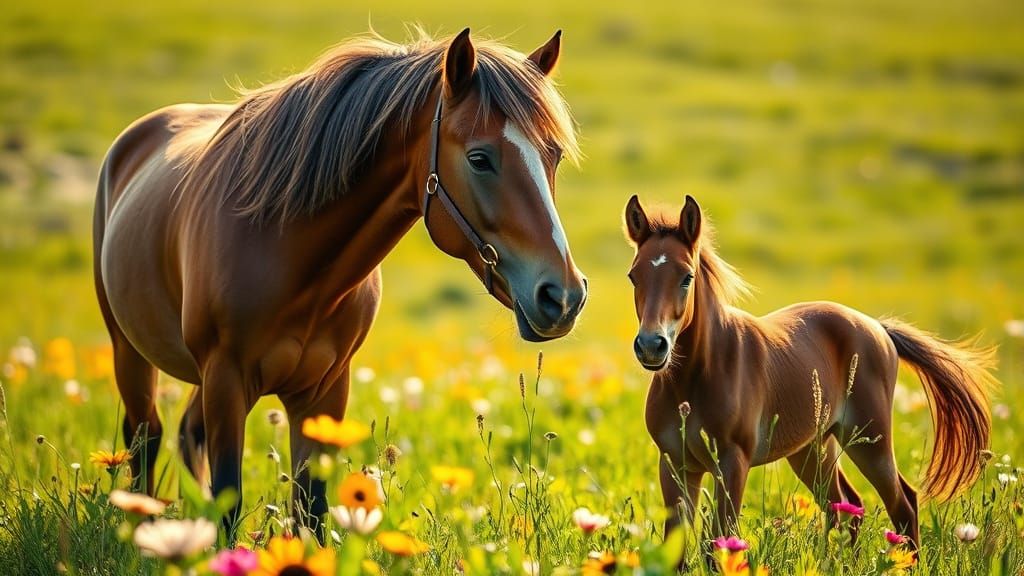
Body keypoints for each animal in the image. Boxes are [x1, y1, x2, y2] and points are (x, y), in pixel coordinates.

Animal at [93, 28, 588, 538]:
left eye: (553, 155)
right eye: (479, 158)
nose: (563, 296)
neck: (286, 253)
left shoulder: (325, 392)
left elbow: (311, 510)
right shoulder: (225, 380)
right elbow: (229, 501)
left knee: (186, 433)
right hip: (131, 354)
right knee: (146, 438)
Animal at [623, 194, 996, 551]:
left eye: (687, 277)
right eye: (633, 276)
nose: (651, 345)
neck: (696, 379)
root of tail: (879, 328)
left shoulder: (732, 463)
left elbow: (720, 541)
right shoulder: (675, 464)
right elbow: (677, 550)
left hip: (870, 440)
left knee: (903, 503)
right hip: (814, 448)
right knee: (845, 506)